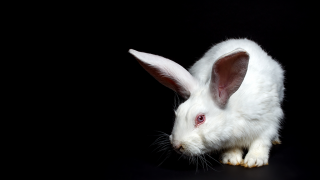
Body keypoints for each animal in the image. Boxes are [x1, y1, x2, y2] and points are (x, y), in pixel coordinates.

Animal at [129, 38, 284, 168]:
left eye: (200, 118)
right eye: (177, 113)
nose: (176, 145)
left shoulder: (268, 122)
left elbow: (260, 143)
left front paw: (254, 160)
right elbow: (233, 148)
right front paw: (231, 158)